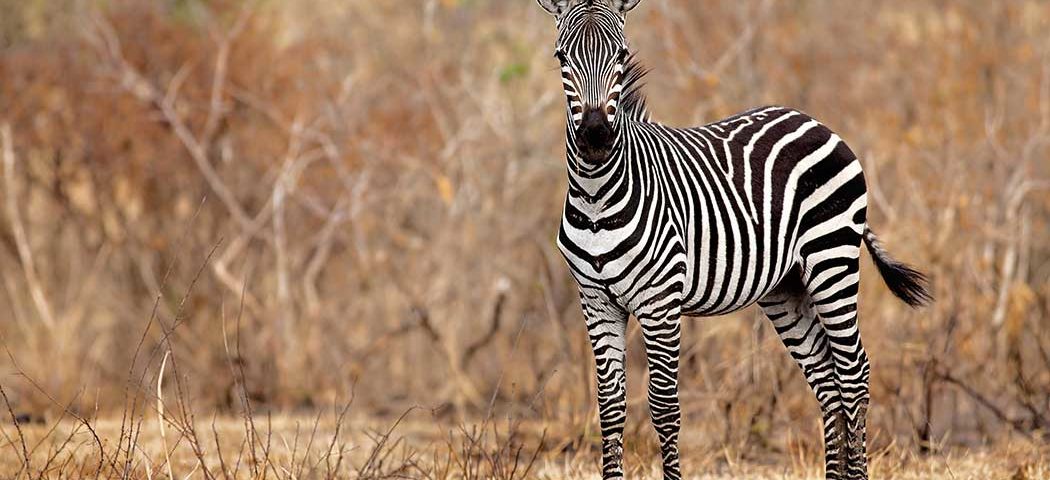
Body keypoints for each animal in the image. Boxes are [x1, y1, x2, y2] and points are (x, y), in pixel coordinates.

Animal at [533, 1, 932, 479]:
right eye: (561, 58)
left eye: (622, 55)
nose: (595, 138)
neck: (595, 198)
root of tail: (814, 121)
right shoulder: (596, 302)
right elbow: (610, 409)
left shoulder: (659, 303)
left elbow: (664, 408)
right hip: (786, 287)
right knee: (827, 379)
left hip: (831, 259)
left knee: (854, 373)